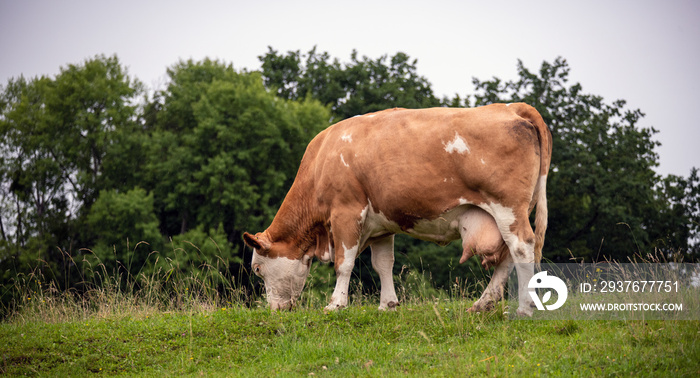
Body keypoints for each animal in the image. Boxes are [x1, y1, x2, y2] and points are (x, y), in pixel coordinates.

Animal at [243, 102, 548, 316]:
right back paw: (483, 304)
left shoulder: (346, 212)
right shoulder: (381, 224)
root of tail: (511, 107)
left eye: (257, 269)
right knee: (508, 257)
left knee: (522, 248)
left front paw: (336, 304)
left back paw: (524, 308)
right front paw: (387, 304)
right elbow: (383, 264)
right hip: (509, 212)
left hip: (507, 207)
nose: (275, 309)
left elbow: (344, 263)